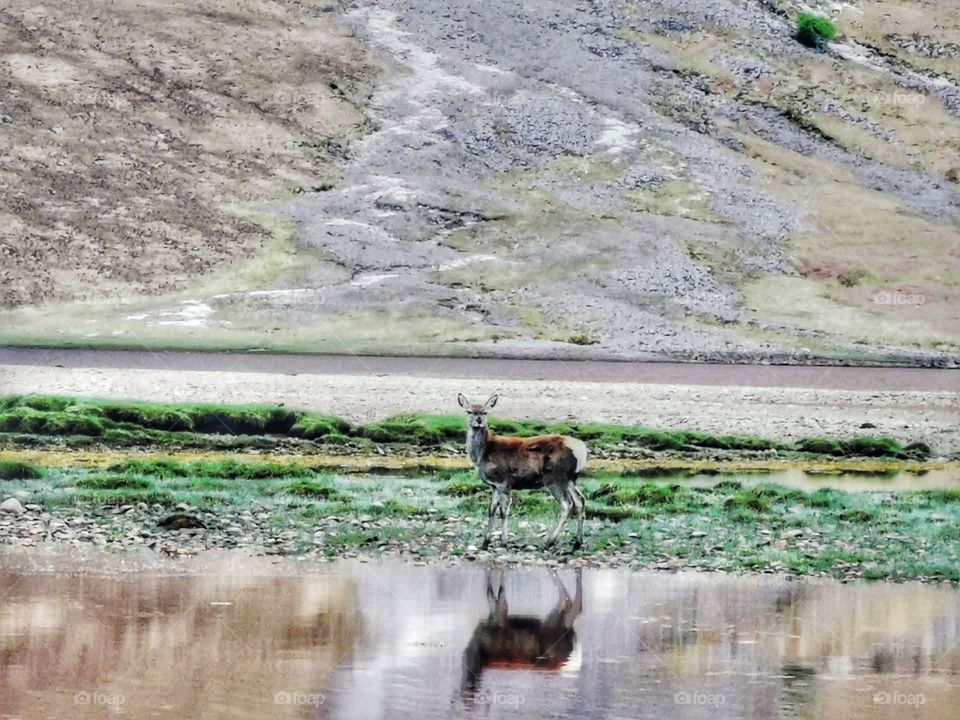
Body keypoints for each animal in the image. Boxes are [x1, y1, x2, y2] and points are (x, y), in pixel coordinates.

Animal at [457, 393, 587, 550]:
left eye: (485, 412)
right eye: (469, 411)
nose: (479, 421)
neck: (484, 454)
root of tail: (582, 450)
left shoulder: (503, 481)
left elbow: (502, 511)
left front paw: (502, 542)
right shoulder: (496, 485)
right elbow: (493, 510)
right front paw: (487, 543)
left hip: (555, 477)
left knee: (567, 504)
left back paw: (549, 541)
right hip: (571, 479)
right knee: (580, 501)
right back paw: (577, 543)